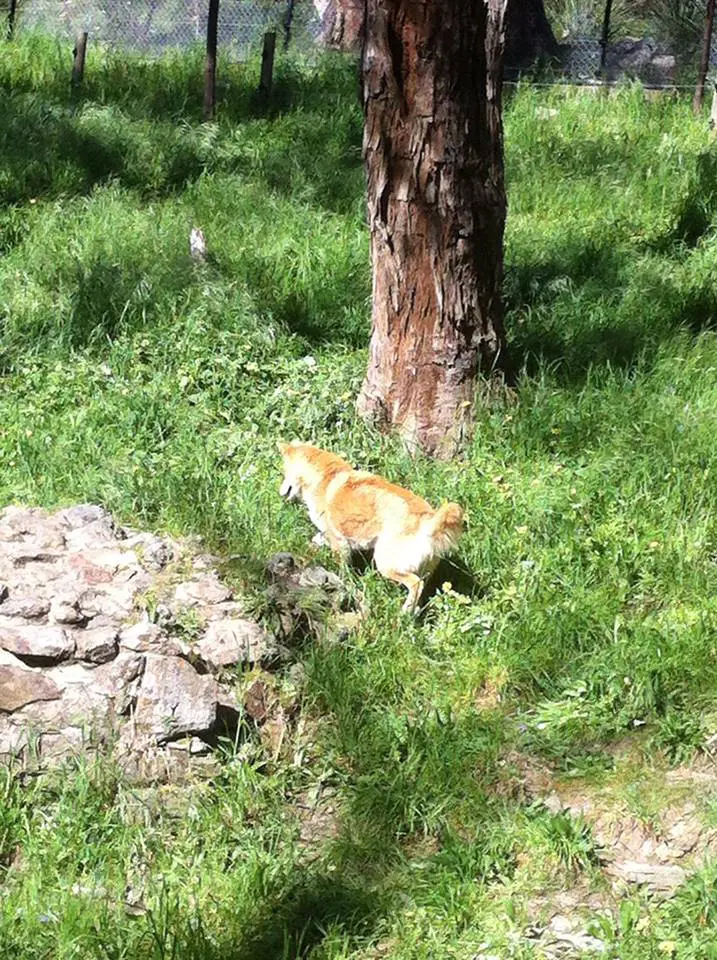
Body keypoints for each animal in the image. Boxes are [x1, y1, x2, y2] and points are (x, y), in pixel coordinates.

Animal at [274, 444, 464, 616]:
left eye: (284, 472)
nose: (280, 493)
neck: (326, 478)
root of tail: (428, 521)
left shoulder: (340, 543)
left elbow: (342, 569)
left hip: (385, 563)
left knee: (416, 584)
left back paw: (404, 612)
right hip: (423, 568)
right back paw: (413, 613)